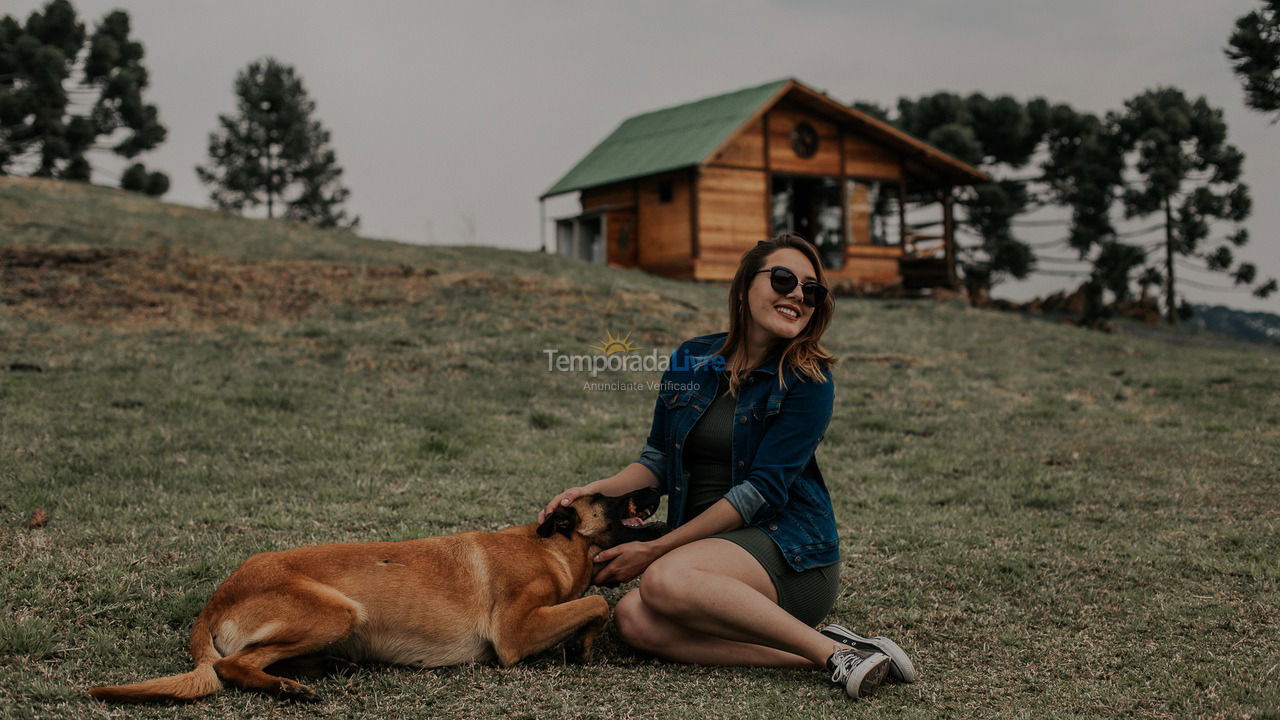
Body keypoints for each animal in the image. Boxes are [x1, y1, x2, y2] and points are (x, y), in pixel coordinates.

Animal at [86, 486, 665, 702]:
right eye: (608, 497)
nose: (657, 486)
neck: (551, 547)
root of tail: (214, 601)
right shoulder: (514, 635)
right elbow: (595, 603)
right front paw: (584, 643)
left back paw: (323, 668)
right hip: (339, 611)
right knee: (233, 665)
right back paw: (290, 688)